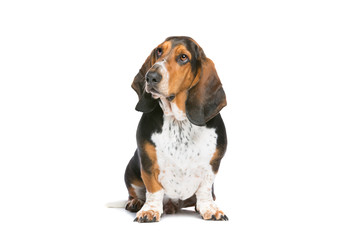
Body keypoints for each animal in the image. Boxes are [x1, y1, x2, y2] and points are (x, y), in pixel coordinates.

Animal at [122, 36, 226, 222]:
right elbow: (153, 189)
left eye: (183, 57)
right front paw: (150, 211)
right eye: (159, 51)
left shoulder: (212, 164)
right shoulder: (148, 163)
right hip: (131, 171)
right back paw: (136, 202)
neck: (179, 121)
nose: (151, 76)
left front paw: (209, 209)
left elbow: (205, 189)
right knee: (135, 193)